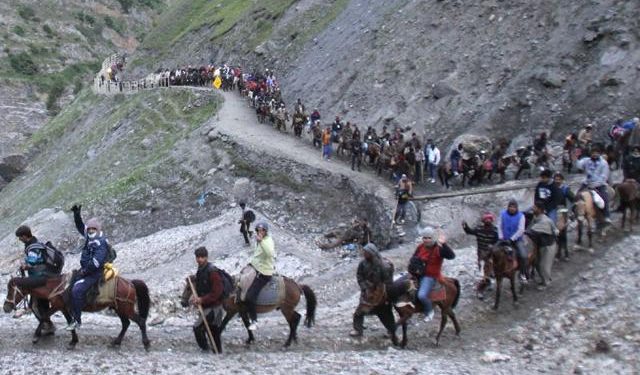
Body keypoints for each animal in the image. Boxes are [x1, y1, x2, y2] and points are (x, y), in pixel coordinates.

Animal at [3, 274, 150, 350]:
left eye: (11, 290)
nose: (5, 307)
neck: (55, 287)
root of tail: (130, 283)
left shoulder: (57, 306)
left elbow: (44, 316)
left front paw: (36, 336)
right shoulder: (63, 308)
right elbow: (70, 323)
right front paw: (73, 341)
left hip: (125, 308)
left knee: (140, 321)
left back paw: (146, 344)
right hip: (119, 309)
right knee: (126, 324)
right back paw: (116, 342)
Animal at [181, 274, 316, 348]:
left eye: (188, 288)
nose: (183, 302)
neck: (228, 289)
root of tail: (298, 285)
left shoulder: (232, 311)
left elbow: (224, 324)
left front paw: (216, 336)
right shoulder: (242, 311)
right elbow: (247, 324)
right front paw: (250, 339)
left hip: (286, 309)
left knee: (294, 321)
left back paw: (288, 342)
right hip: (288, 309)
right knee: (296, 318)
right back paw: (294, 339)